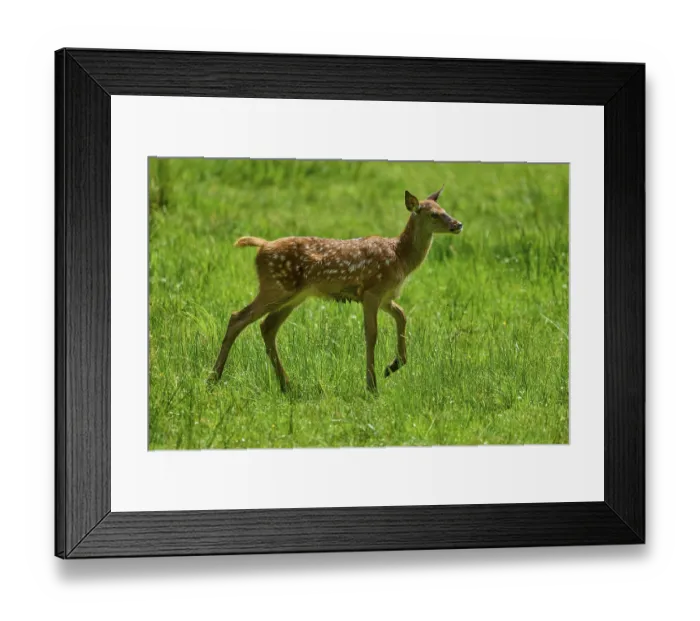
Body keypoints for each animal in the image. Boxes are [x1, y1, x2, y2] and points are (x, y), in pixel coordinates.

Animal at [209, 186, 462, 392]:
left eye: (444, 209)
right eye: (433, 214)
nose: (457, 224)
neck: (400, 256)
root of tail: (262, 246)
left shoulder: (386, 297)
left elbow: (402, 316)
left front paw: (393, 366)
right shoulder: (371, 291)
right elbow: (371, 334)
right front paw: (371, 385)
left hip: (293, 296)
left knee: (267, 327)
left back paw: (286, 384)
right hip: (275, 287)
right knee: (238, 317)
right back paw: (214, 377)